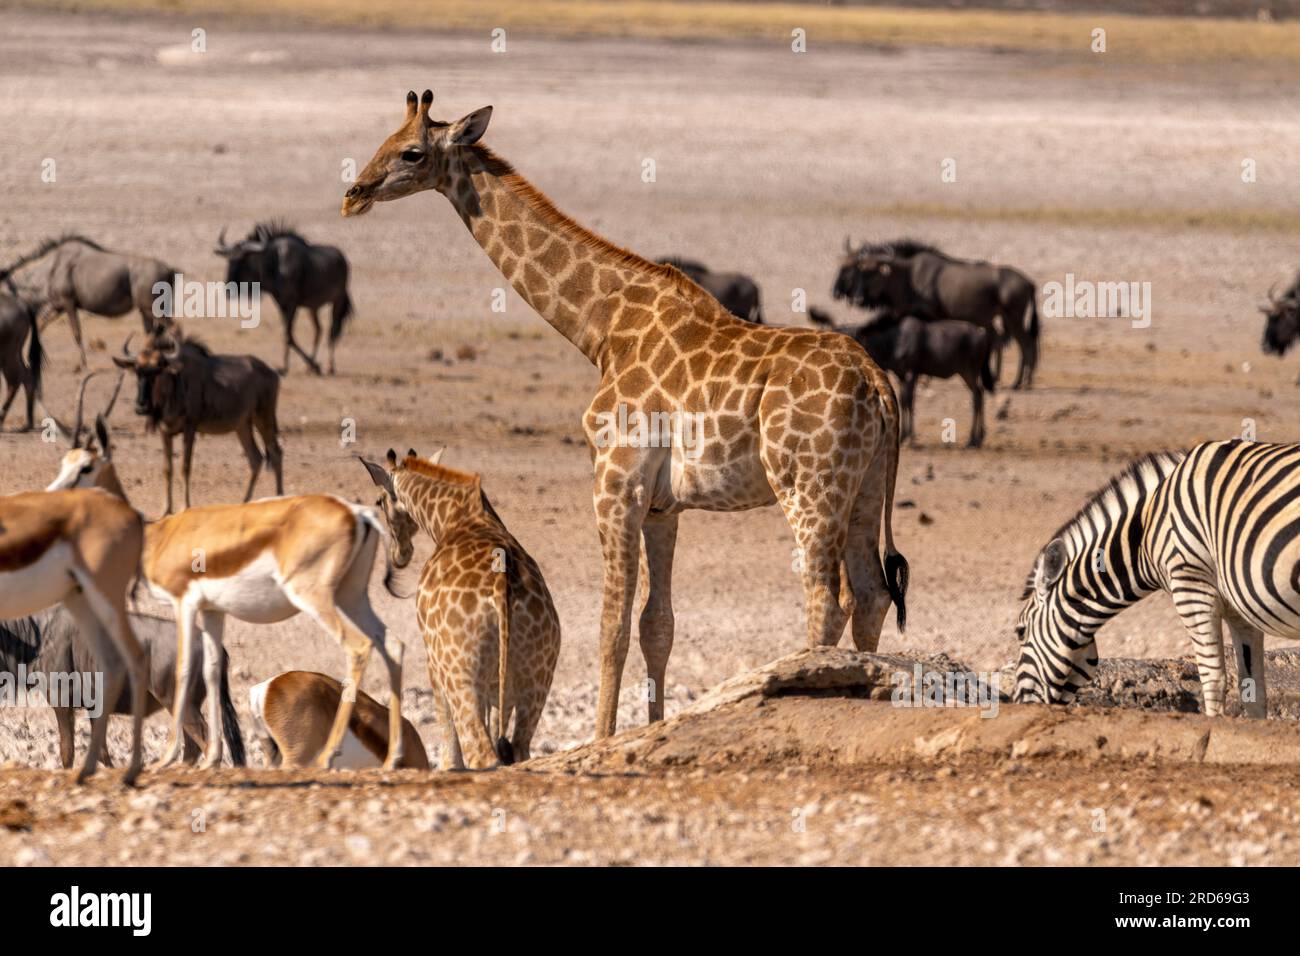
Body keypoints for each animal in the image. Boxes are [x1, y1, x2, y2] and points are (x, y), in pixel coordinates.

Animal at [46, 418, 409, 771]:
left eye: (87, 467)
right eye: (64, 462)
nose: (52, 496)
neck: (158, 535)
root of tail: (357, 514)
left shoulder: (184, 603)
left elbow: (183, 670)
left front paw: (167, 757)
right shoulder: (212, 611)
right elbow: (210, 671)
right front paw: (212, 759)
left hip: (315, 598)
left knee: (358, 647)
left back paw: (329, 756)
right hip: (352, 596)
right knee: (392, 644)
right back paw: (393, 756)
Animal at [360, 449, 561, 769]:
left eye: (379, 501)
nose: (399, 556)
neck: (452, 518)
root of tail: (503, 592)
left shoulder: (433, 661)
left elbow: (449, 742)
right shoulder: (496, 688)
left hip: (460, 673)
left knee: (480, 752)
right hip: (537, 681)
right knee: (518, 750)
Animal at [1014, 440, 1300, 717]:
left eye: (1020, 632)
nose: (1018, 703)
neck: (1147, 525)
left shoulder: (1191, 586)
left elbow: (1212, 678)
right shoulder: (1240, 610)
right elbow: (1253, 689)